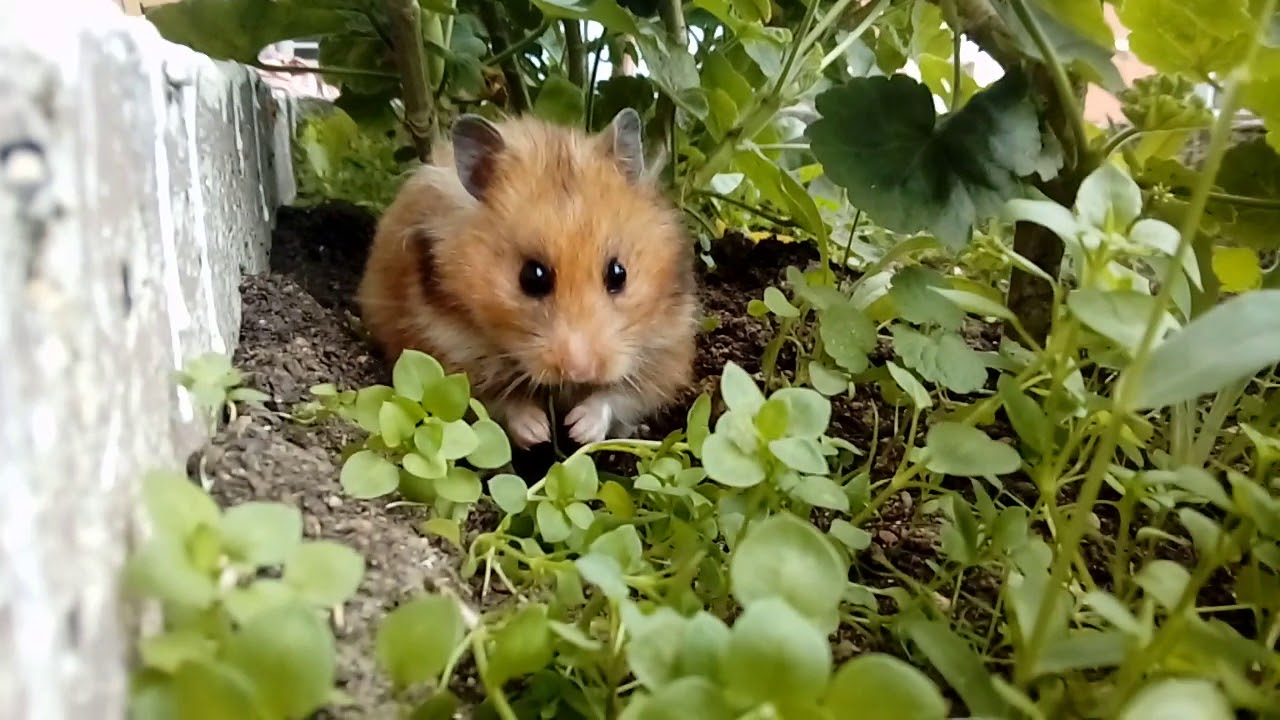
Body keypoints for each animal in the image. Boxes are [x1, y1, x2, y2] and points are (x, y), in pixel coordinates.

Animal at [356, 108, 699, 450]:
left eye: (619, 274)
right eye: (532, 277)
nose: (580, 370)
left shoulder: (666, 350)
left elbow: (617, 396)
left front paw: (578, 429)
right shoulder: (447, 347)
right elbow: (502, 402)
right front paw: (539, 432)